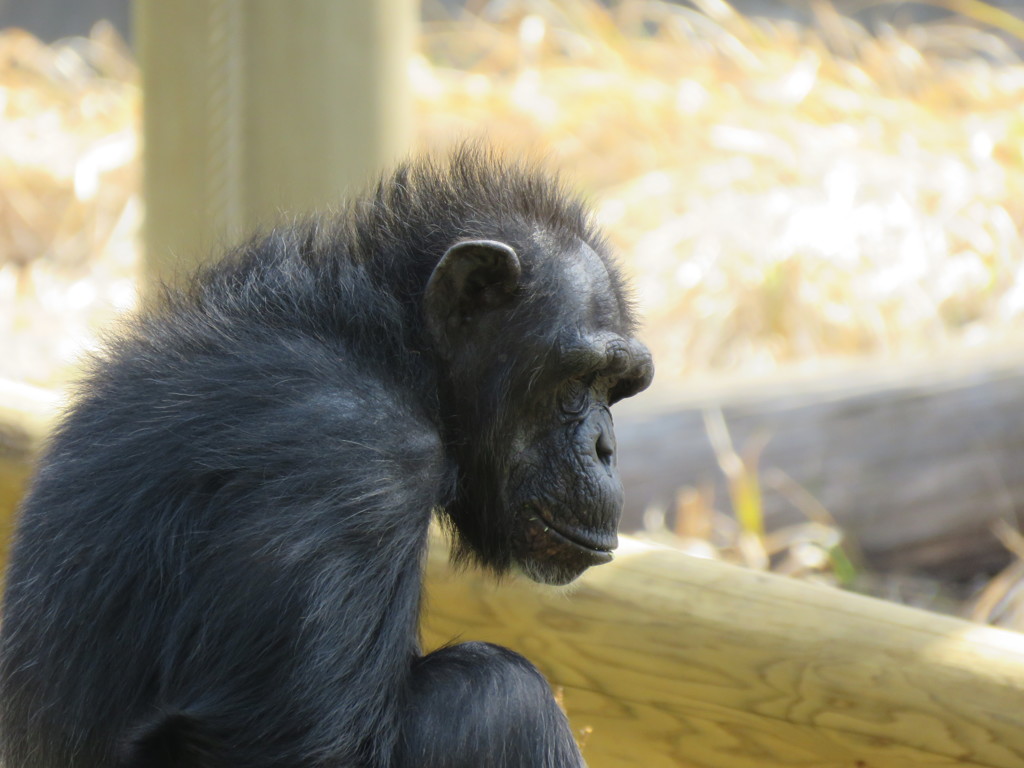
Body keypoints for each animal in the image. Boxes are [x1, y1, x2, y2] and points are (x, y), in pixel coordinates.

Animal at [0, 147, 651, 765]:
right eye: (580, 380)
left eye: (617, 387)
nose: (605, 447)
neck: (395, 350)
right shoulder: (355, 470)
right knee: (500, 695)